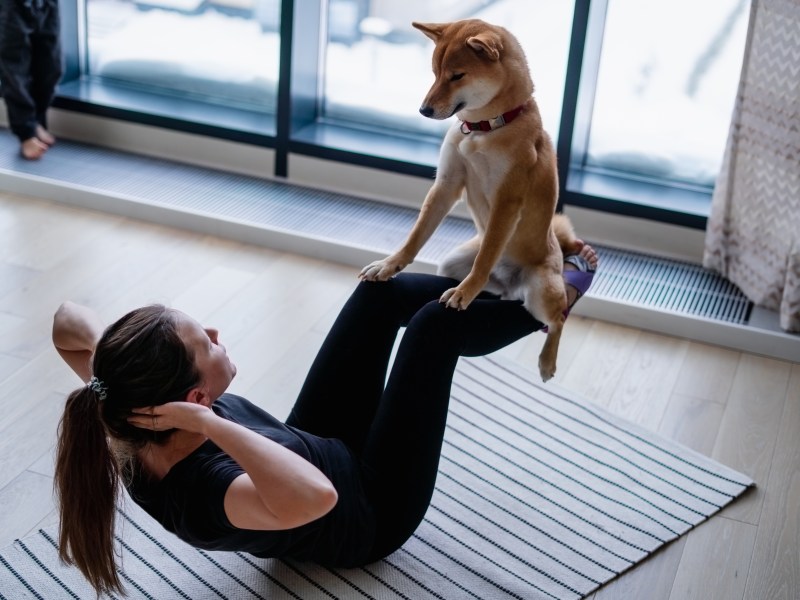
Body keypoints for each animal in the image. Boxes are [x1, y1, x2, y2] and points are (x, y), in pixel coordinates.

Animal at [360, 19, 580, 384]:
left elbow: (485, 256)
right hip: (452, 263)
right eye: (435, 72)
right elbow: (415, 238)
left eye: (457, 76)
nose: (423, 110)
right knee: (495, 292)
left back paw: (547, 361)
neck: (483, 129)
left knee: (556, 319)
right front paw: (389, 265)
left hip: (541, 292)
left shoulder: (507, 203)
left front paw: (464, 293)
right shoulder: (446, 185)